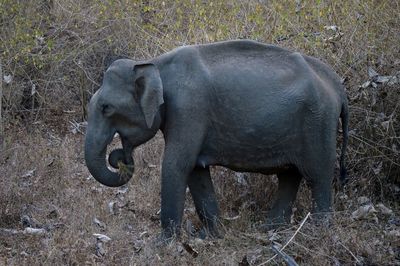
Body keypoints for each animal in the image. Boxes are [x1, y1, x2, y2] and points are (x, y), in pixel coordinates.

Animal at [83, 40, 346, 241]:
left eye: (106, 108)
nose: (119, 156)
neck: (153, 64)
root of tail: (337, 85)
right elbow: (195, 171)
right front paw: (211, 237)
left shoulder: (189, 109)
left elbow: (176, 165)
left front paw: (163, 244)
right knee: (290, 175)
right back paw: (269, 230)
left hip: (319, 122)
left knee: (319, 176)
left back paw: (318, 233)